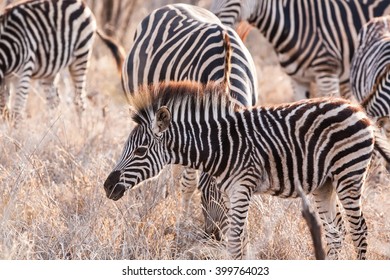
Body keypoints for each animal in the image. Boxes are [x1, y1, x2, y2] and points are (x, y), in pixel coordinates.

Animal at [103, 80, 390, 260]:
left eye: (140, 151)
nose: (107, 186)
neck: (219, 145)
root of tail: (358, 110)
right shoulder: (230, 192)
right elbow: (239, 241)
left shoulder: (242, 187)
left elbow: (234, 242)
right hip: (324, 184)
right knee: (335, 232)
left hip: (349, 174)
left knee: (359, 230)